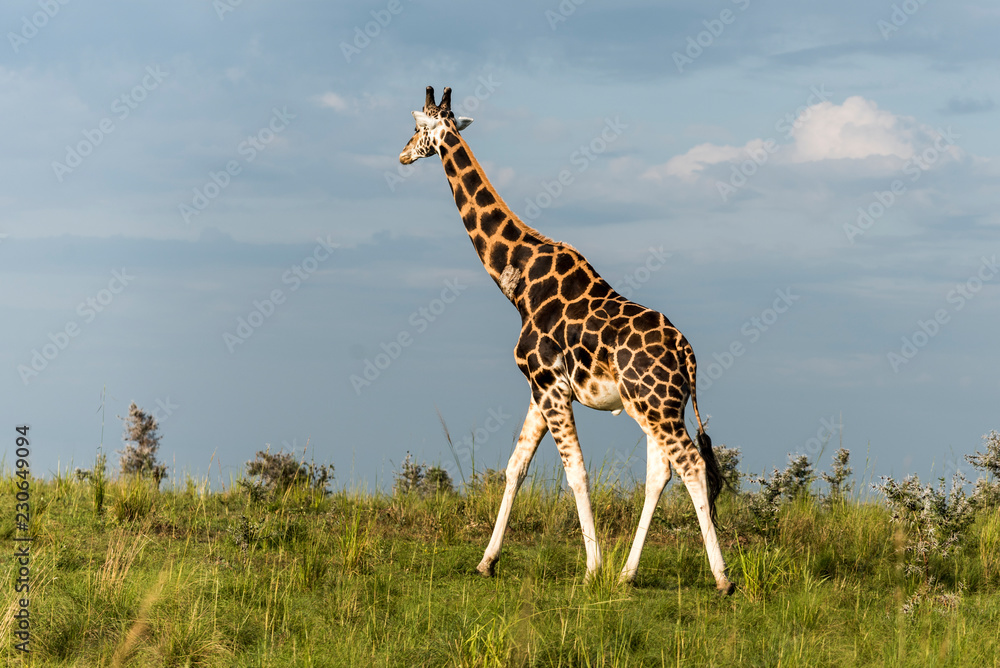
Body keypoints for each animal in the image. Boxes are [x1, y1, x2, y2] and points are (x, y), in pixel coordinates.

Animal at [399, 86, 734, 593]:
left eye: (417, 127)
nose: (401, 154)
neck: (517, 282)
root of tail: (687, 355)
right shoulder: (540, 389)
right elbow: (515, 468)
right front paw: (486, 561)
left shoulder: (549, 385)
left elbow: (575, 473)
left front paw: (591, 567)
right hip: (657, 406)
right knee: (662, 472)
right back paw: (627, 573)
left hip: (654, 405)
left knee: (691, 465)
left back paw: (721, 578)